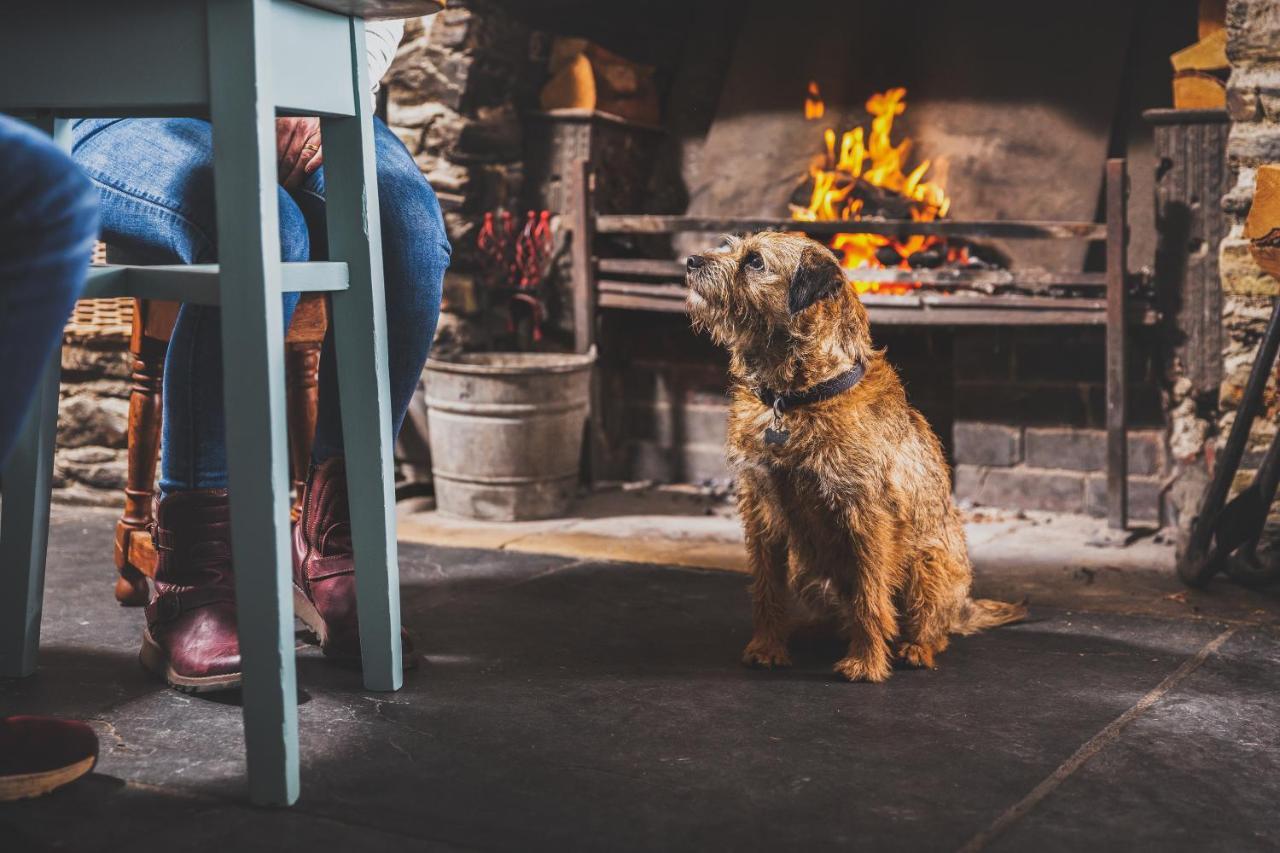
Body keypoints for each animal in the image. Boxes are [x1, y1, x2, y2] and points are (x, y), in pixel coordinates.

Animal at [686, 230, 1024, 676]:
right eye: (731, 247)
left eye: (755, 261)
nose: (690, 260)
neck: (797, 397)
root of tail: (964, 606)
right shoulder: (759, 506)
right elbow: (766, 585)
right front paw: (767, 646)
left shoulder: (864, 513)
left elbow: (869, 593)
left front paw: (866, 663)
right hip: (807, 571)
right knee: (837, 616)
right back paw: (809, 631)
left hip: (928, 564)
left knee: (932, 626)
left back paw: (915, 648)